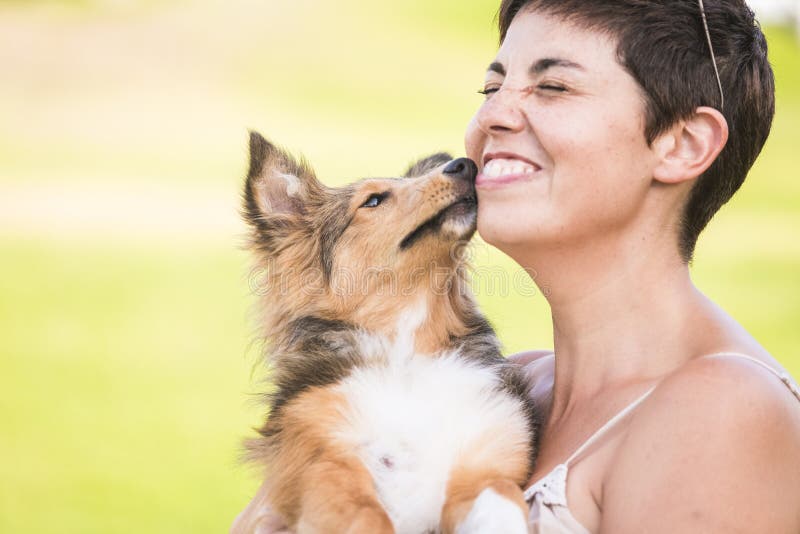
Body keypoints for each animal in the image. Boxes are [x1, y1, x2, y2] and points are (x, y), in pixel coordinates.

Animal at [241, 131, 540, 534]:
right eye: (373, 200)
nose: (465, 165)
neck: (408, 353)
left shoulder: (485, 466)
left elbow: (502, 503)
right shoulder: (325, 465)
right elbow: (369, 516)